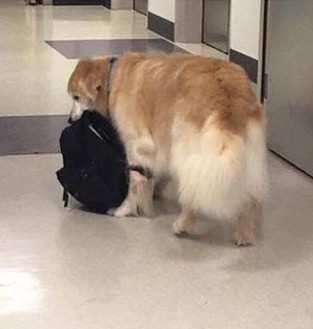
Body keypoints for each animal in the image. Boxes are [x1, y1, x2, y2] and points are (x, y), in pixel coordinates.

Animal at [67, 53, 266, 243]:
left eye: (76, 97)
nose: (69, 119)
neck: (112, 78)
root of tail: (226, 97)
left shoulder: (137, 145)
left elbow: (135, 183)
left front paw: (125, 209)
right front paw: (154, 191)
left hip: (186, 149)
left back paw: (183, 224)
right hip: (245, 157)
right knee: (248, 198)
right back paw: (244, 234)